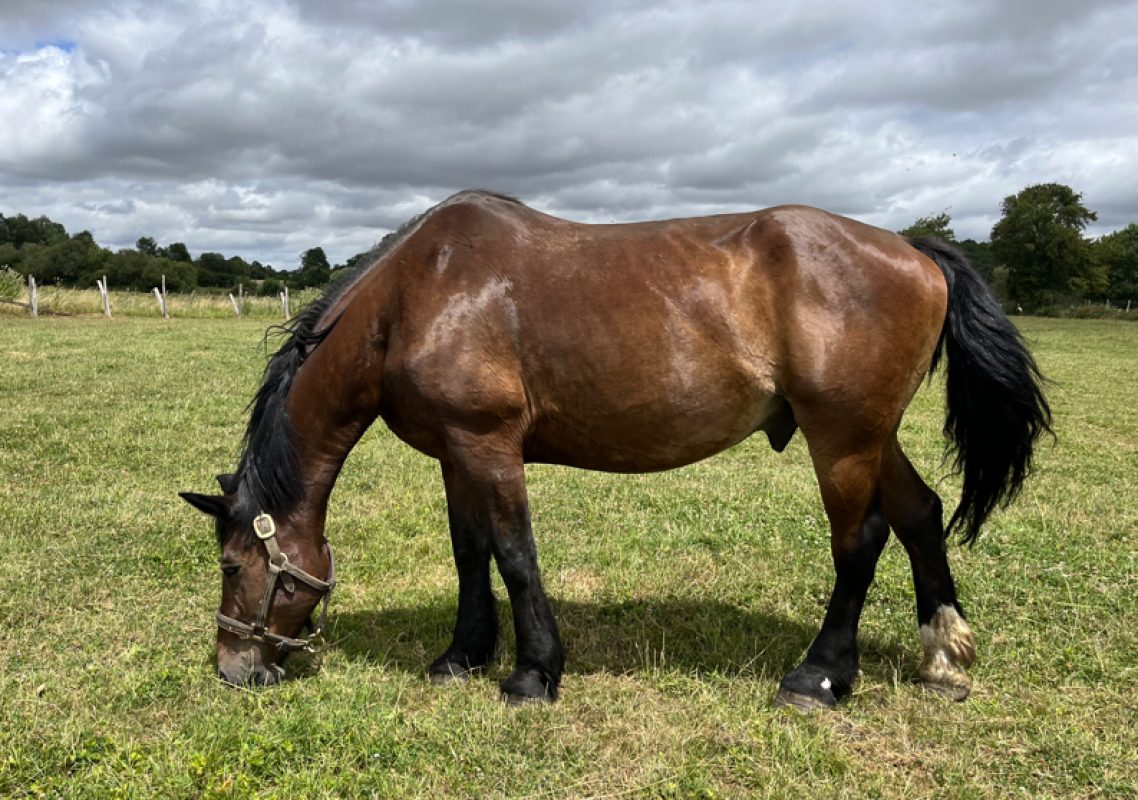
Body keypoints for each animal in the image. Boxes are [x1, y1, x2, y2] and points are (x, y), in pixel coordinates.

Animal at [181, 190, 1051, 710]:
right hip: (872, 433)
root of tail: (912, 248)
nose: (233, 669)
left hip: (841, 437)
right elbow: (470, 554)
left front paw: (532, 673)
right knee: (920, 514)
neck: (417, 295)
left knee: (861, 540)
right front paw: (462, 656)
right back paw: (942, 657)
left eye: (231, 566)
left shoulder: (488, 444)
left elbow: (514, 554)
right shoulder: (455, 453)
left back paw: (819, 676)